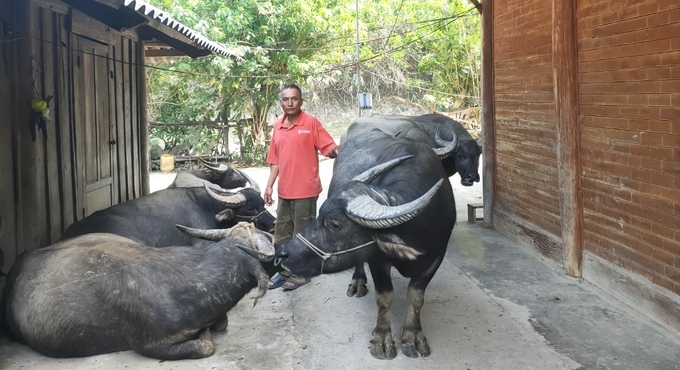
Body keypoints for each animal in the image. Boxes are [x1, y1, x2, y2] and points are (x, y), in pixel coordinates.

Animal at [274, 128, 454, 358]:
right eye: (320, 212)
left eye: (335, 224)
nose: (283, 252)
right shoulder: (377, 259)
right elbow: (384, 297)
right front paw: (382, 339)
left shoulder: (436, 255)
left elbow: (416, 296)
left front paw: (413, 336)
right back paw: (358, 282)